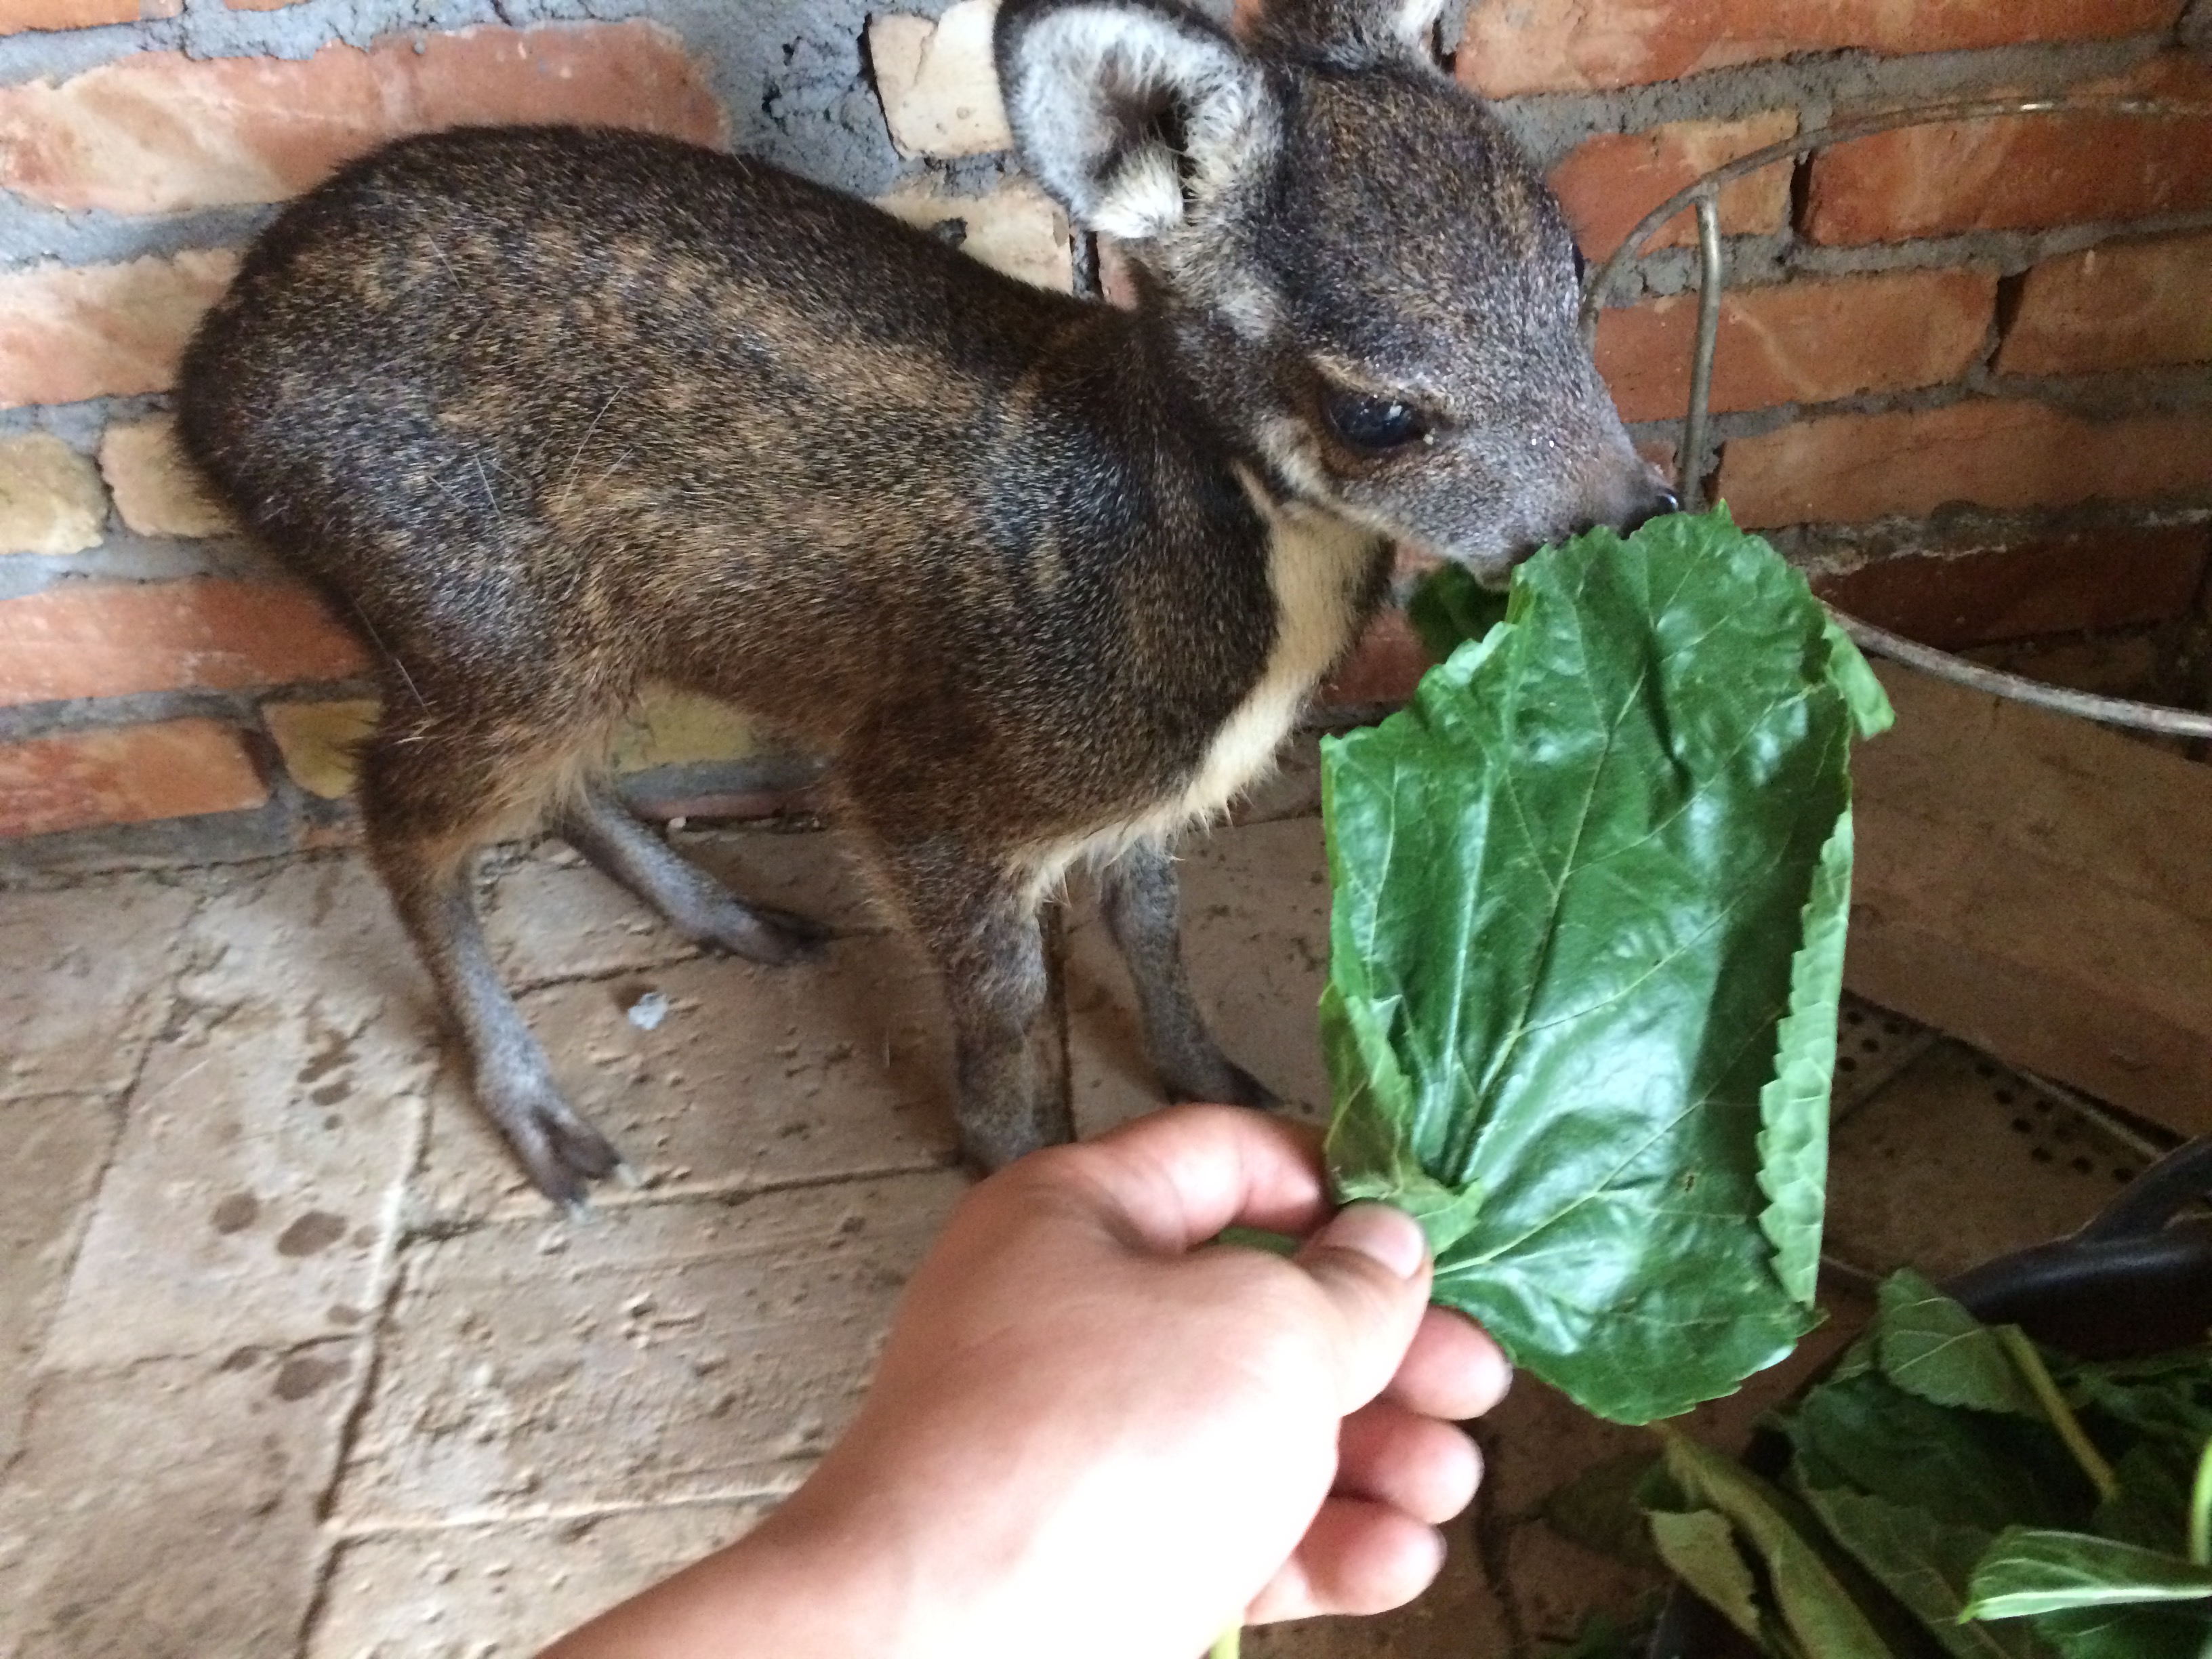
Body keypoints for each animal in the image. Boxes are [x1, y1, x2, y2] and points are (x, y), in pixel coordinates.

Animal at [181, 0, 1663, 1203]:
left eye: (1572, 277)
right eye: (1378, 413)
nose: (1642, 516)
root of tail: (205, 387)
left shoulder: (1131, 795)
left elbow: (1152, 922)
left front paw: (1221, 1084)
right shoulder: (923, 781)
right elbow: (1006, 1003)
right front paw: (1017, 1170)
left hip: (539, 641)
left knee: (528, 789)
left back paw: (733, 917)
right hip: (477, 617)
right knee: (400, 820)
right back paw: (547, 1120)